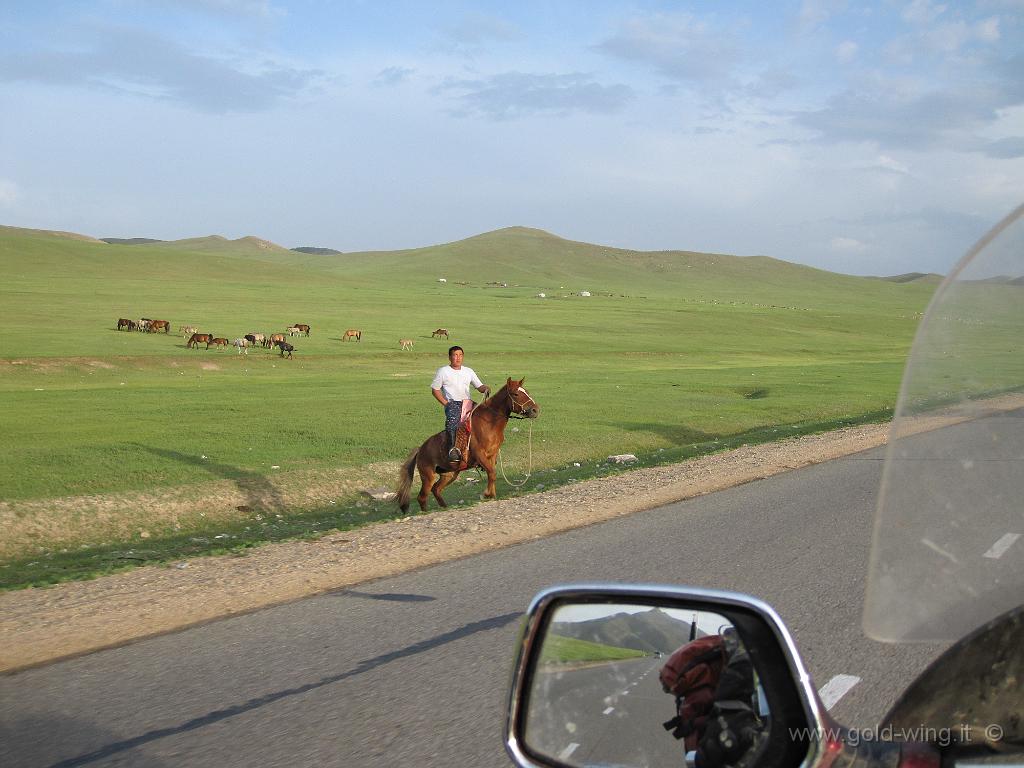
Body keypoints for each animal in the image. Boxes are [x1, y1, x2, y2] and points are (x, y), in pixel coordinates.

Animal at [395, 376, 540, 514]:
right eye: (516, 394)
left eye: (527, 392)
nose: (535, 410)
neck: (489, 423)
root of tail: (420, 449)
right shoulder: (479, 454)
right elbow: (492, 473)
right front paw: (487, 494)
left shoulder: (491, 455)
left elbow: (492, 473)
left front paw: (491, 495)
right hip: (427, 476)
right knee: (422, 497)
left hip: (449, 474)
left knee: (436, 489)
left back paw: (445, 507)